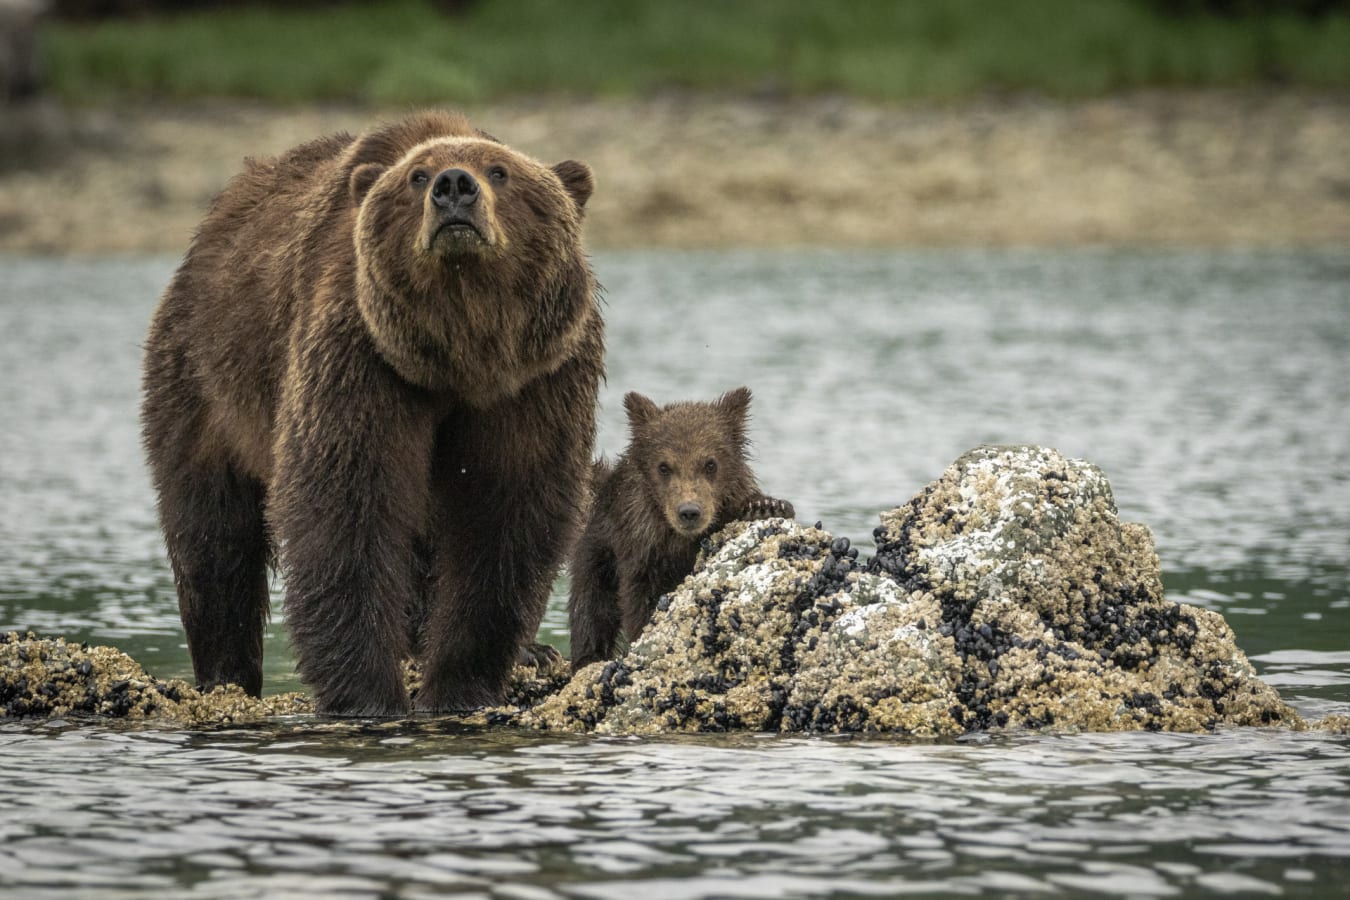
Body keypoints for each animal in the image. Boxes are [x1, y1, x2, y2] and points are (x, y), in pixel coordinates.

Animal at [140, 110, 604, 716]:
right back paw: (225, 673)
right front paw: (368, 693)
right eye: (416, 176)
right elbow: (346, 505)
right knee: (212, 534)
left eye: (500, 171)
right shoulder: (360, 357)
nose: (454, 186)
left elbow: (506, 511)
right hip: (203, 375)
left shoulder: (539, 376)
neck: (462, 350)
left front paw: (461, 684)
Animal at [566, 388, 794, 670]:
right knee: (590, 601)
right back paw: (589, 657)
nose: (689, 511)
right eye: (664, 466)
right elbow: (637, 600)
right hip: (598, 548)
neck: (679, 541)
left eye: (710, 463)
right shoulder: (639, 546)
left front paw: (766, 506)